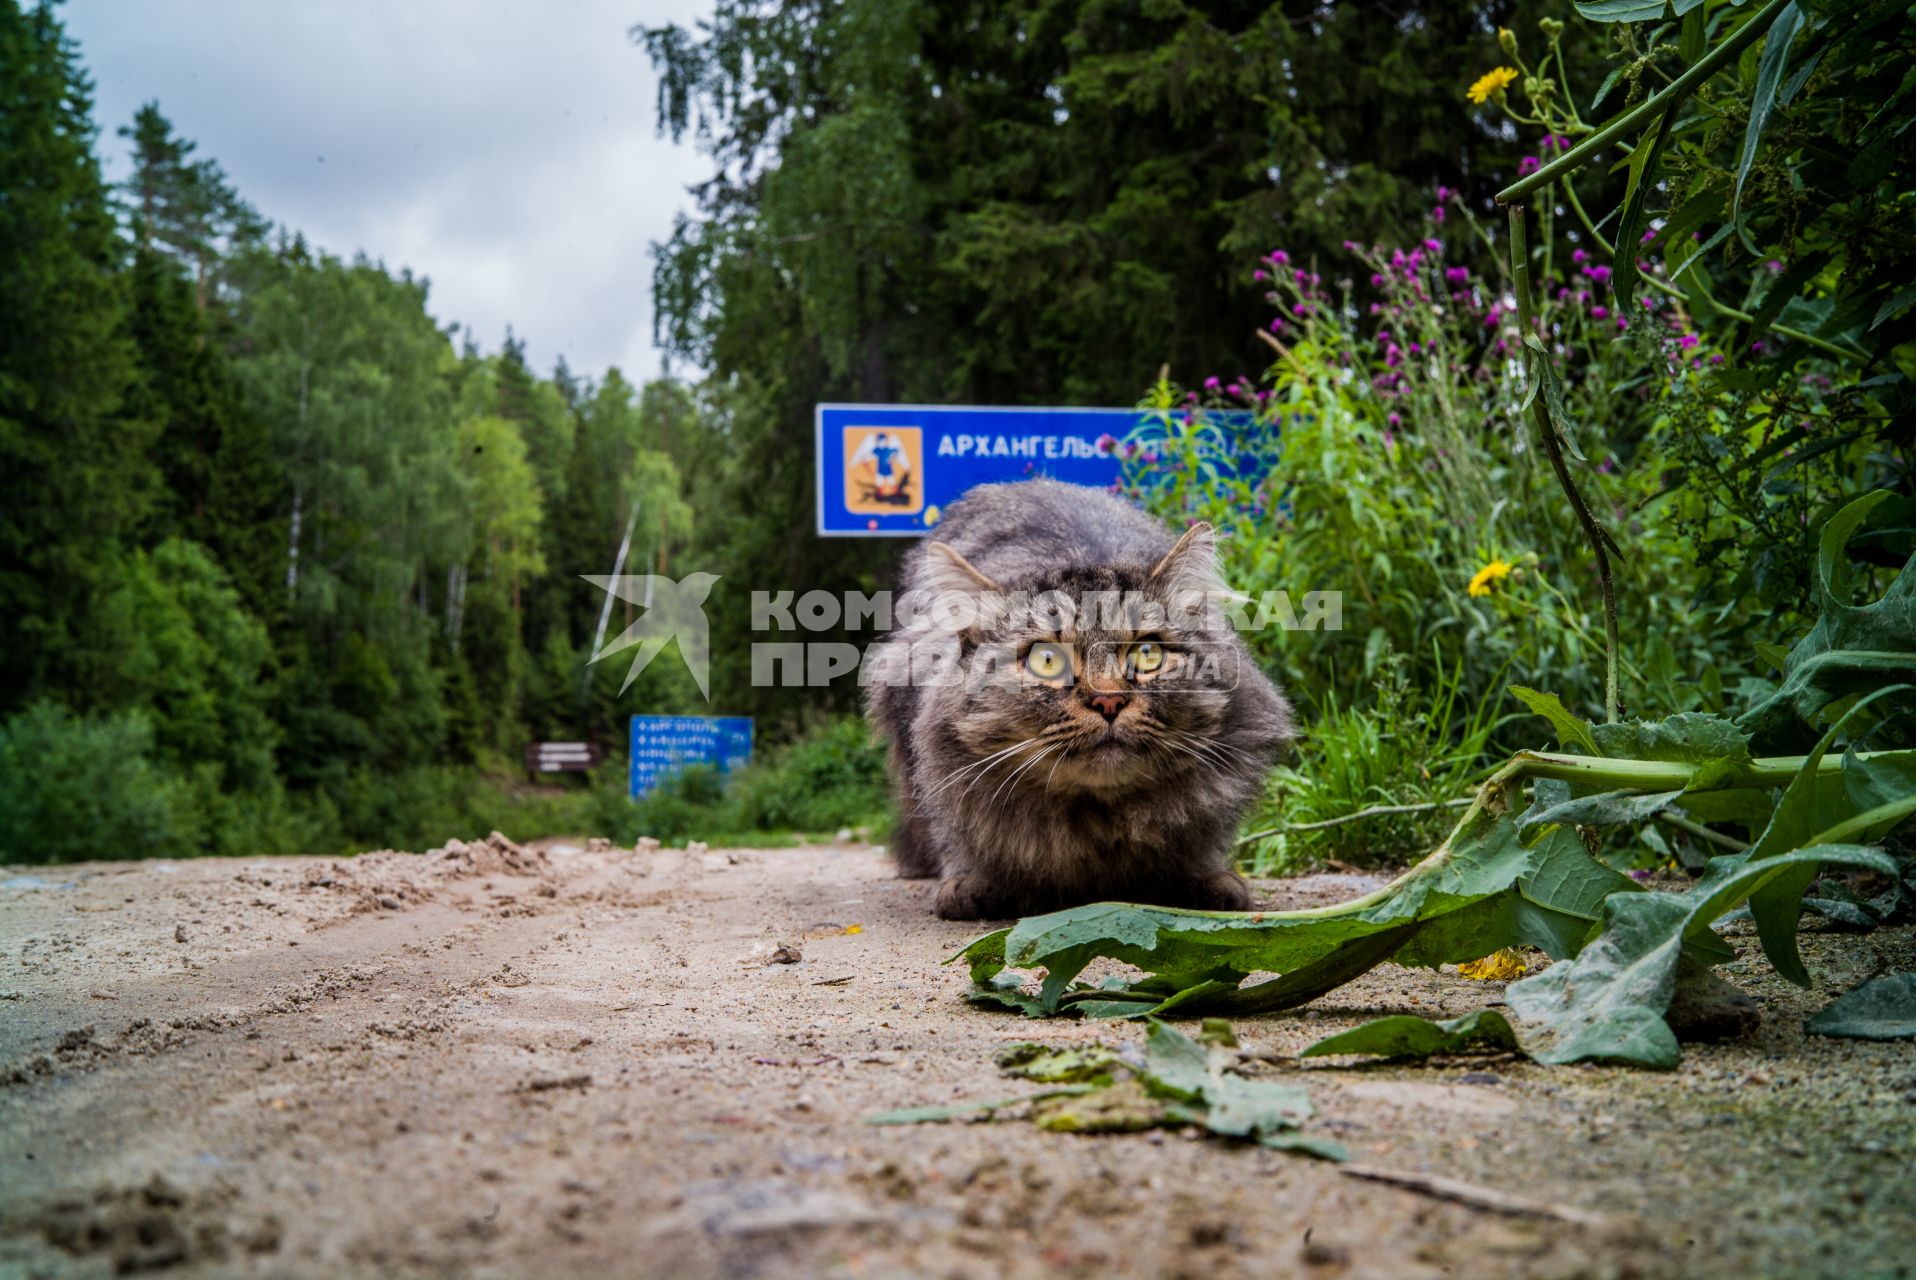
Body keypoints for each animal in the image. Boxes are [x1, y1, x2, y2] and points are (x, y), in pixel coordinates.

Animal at [873, 475, 1295, 915]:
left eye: (1148, 654)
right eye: (1046, 660)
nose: (1108, 701)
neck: (1097, 826)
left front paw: (1201, 879)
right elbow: (955, 831)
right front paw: (972, 882)